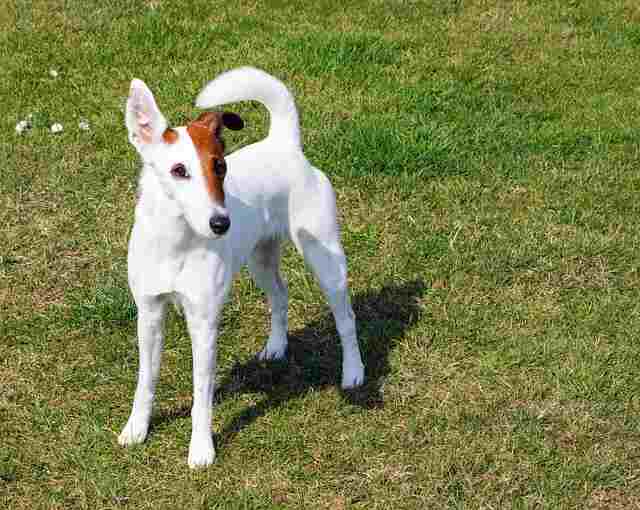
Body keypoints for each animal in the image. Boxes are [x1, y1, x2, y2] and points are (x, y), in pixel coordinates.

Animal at [117, 66, 362, 466]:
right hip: (260, 259)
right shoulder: (150, 314)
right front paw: (137, 428)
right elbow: (145, 381)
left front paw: (201, 448)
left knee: (346, 320)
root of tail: (284, 143)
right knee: (280, 296)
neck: (176, 241)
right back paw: (276, 347)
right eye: (179, 170)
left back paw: (354, 373)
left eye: (220, 167)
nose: (221, 223)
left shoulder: (203, 324)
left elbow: (202, 397)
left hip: (327, 263)